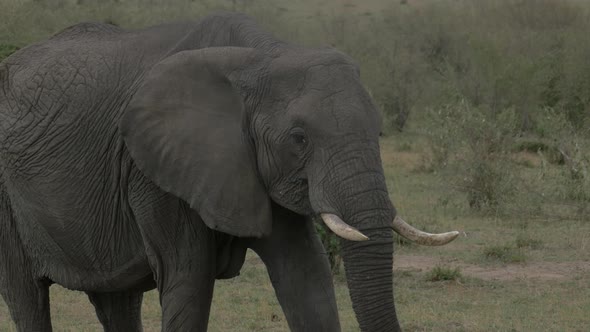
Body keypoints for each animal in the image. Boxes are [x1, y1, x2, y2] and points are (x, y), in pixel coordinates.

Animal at [0, 12, 460, 332]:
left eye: (379, 130)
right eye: (299, 138)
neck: (260, 57)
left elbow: (307, 277)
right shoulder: (157, 173)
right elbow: (188, 280)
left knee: (117, 301)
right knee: (28, 298)